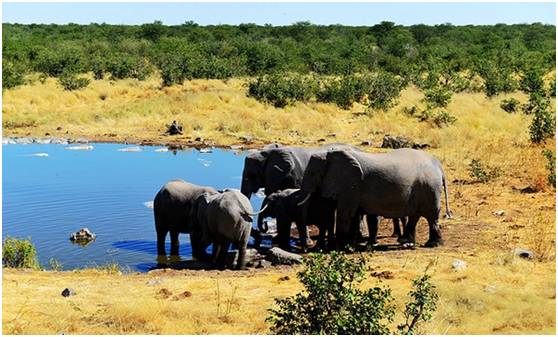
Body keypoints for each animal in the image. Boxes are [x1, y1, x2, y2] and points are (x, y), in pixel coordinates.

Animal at [300, 148, 452, 248]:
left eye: (312, 173)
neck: (328, 154)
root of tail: (439, 166)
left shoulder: (350, 184)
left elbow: (346, 212)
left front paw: (338, 247)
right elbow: (357, 214)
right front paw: (352, 244)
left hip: (429, 187)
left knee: (431, 216)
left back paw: (432, 244)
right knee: (415, 215)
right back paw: (406, 242)